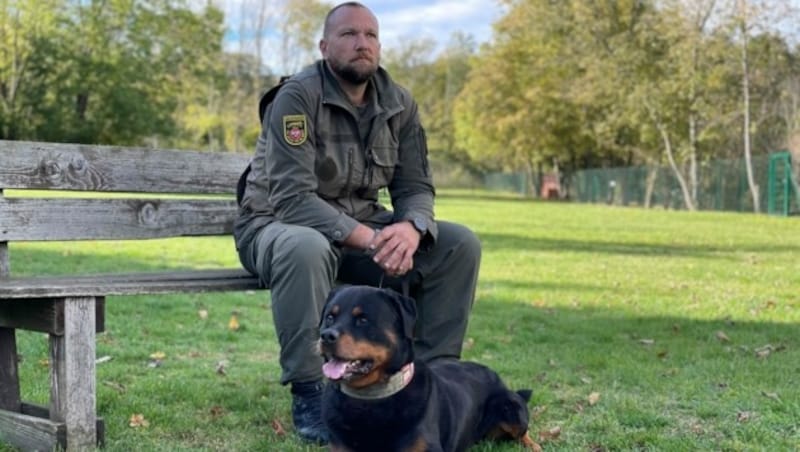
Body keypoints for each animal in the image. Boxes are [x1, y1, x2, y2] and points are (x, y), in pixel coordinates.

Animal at [316, 286, 540, 452]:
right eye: (329, 317)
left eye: (362, 319)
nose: (326, 336)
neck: (370, 399)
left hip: (510, 405)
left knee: (523, 430)